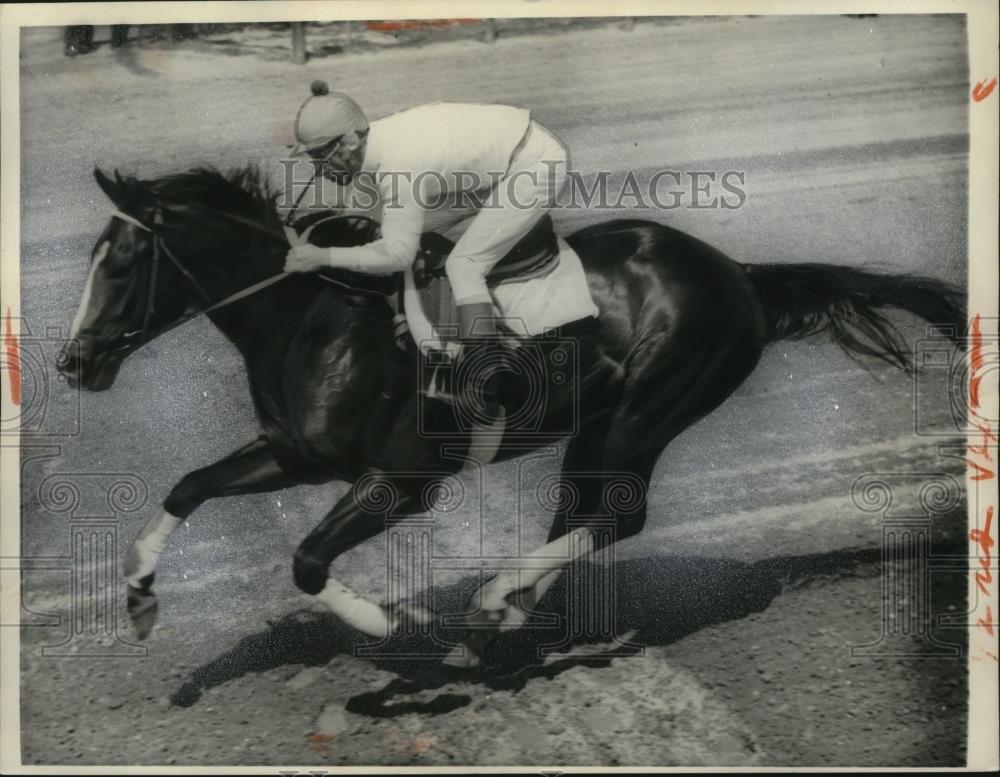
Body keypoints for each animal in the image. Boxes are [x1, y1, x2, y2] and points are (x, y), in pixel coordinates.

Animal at [58, 164, 964, 668]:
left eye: (124, 263)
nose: (72, 361)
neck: (314, 315)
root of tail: (739, 273)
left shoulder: (403, 479)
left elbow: (309, 558)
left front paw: (388, 617)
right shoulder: (295, 452)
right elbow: (188, 484)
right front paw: (137, 589)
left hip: (648, 410)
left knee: (620, 517)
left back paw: (495, 596)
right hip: (597, 426)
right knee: (582, 514)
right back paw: (504, 613)